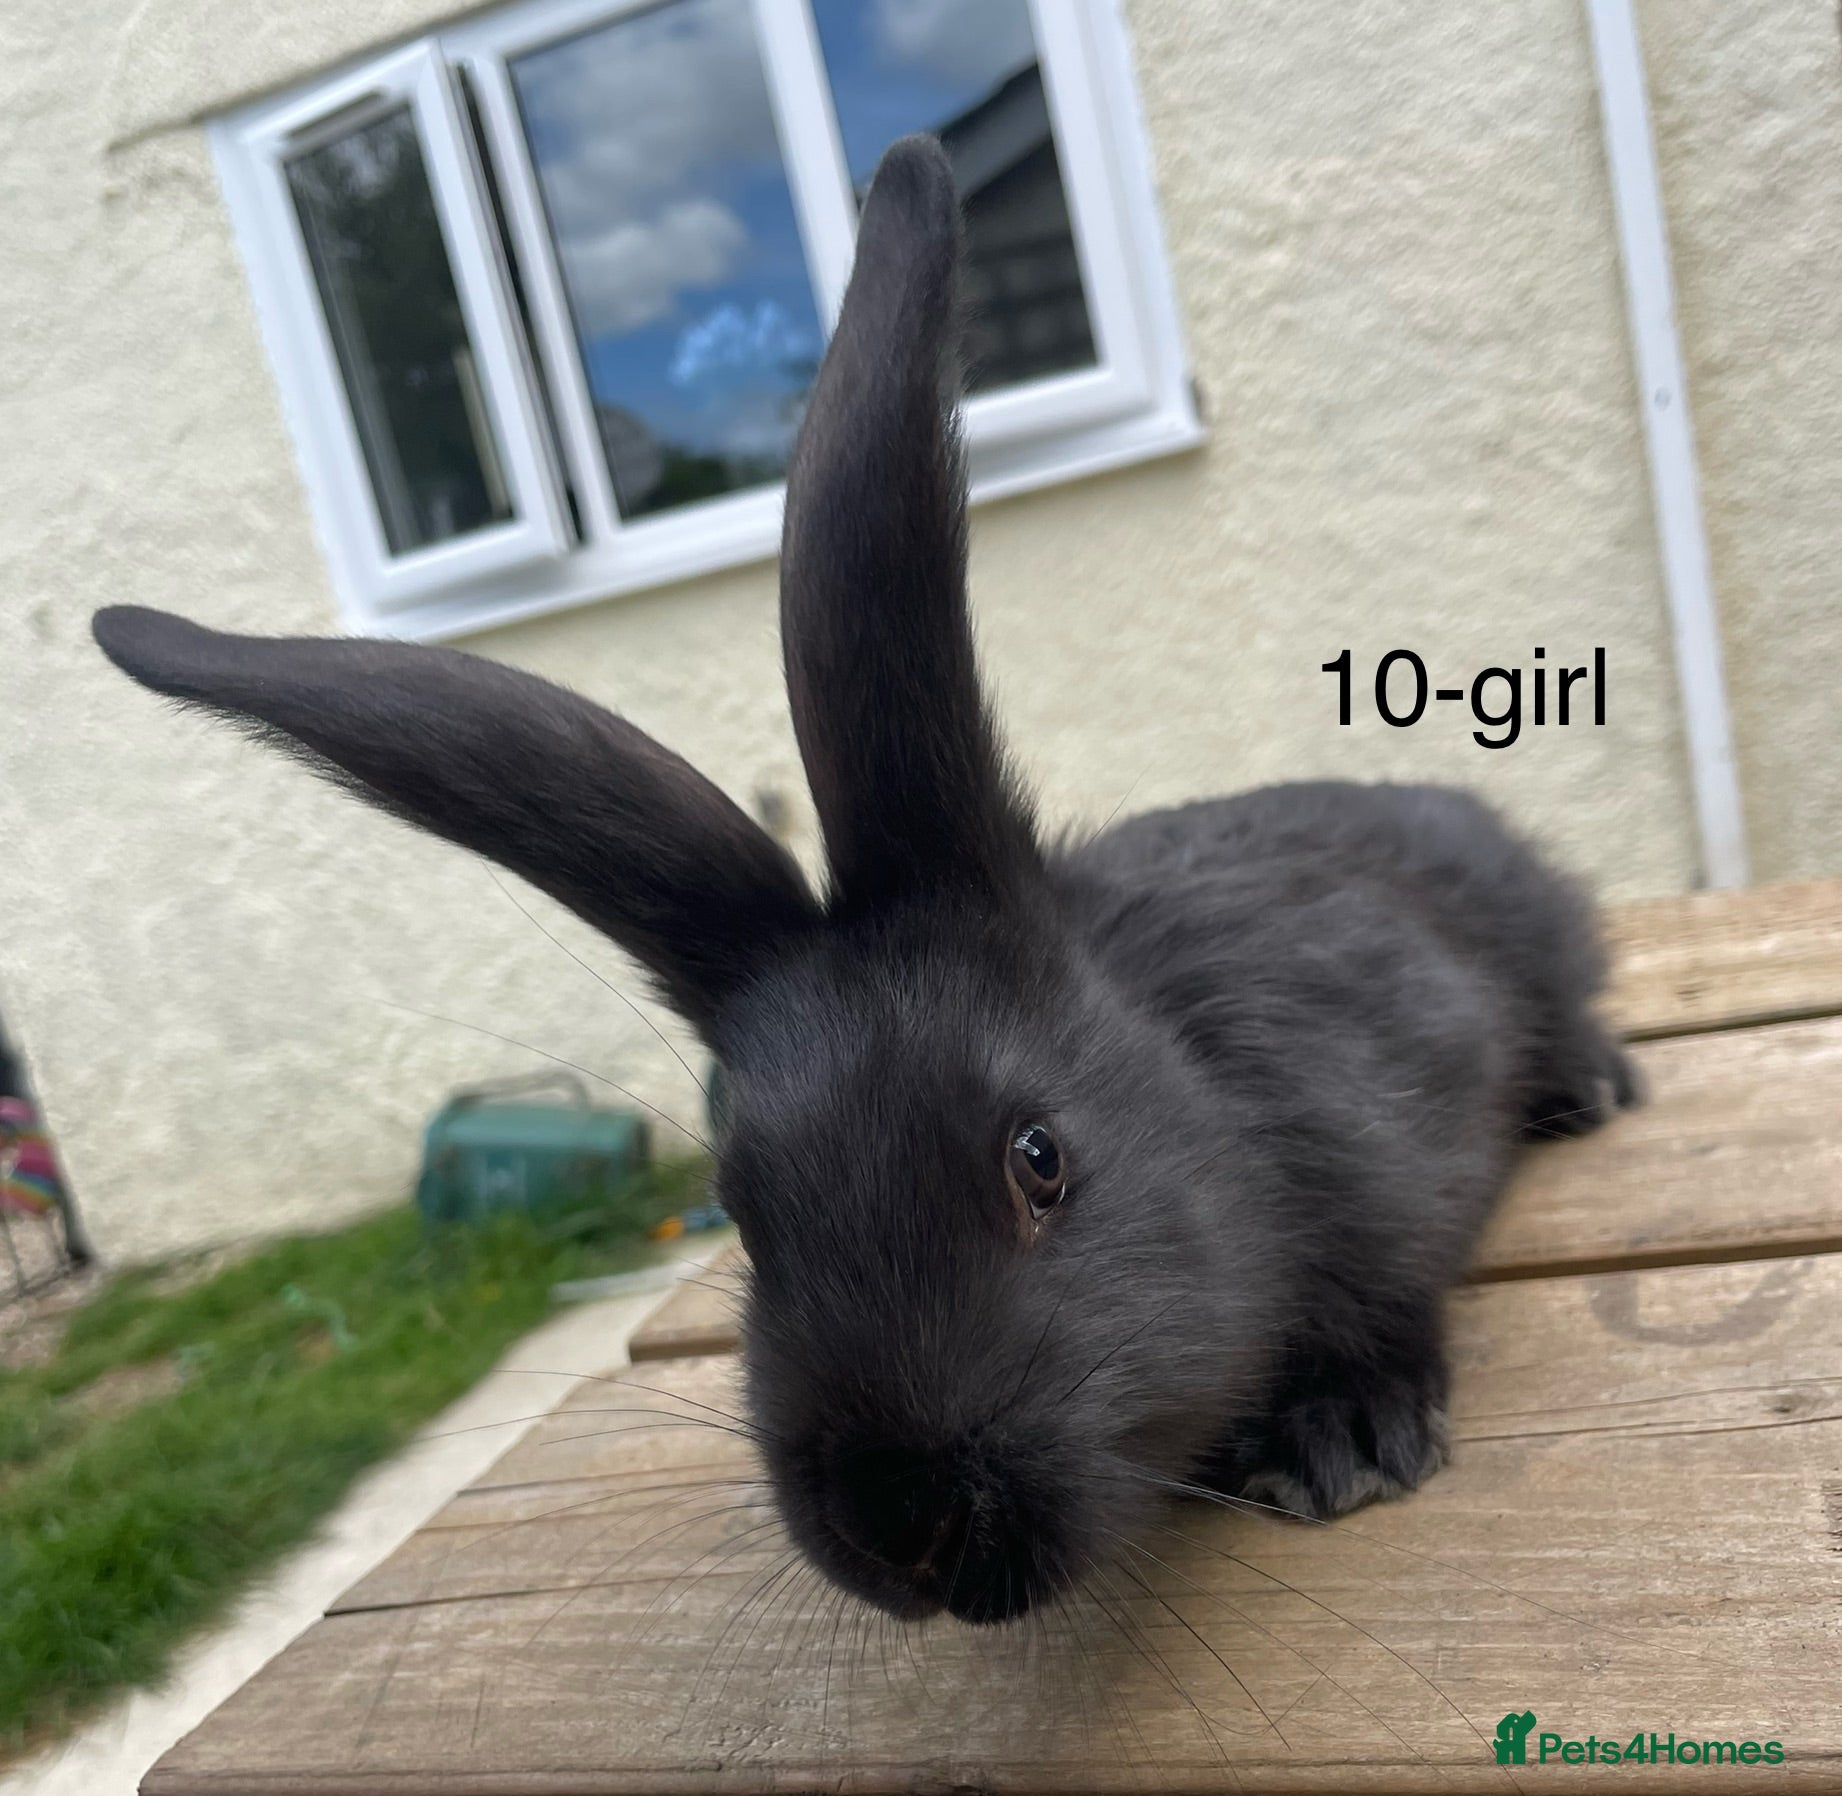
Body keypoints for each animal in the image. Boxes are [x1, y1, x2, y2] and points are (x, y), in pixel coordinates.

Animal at [93, 135, 1635, 1628]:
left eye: (1039, 1161)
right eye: (742, 1212)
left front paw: (1338, 1442)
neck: (1204, 1094)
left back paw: (1591, 1089)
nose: (907, 1528)